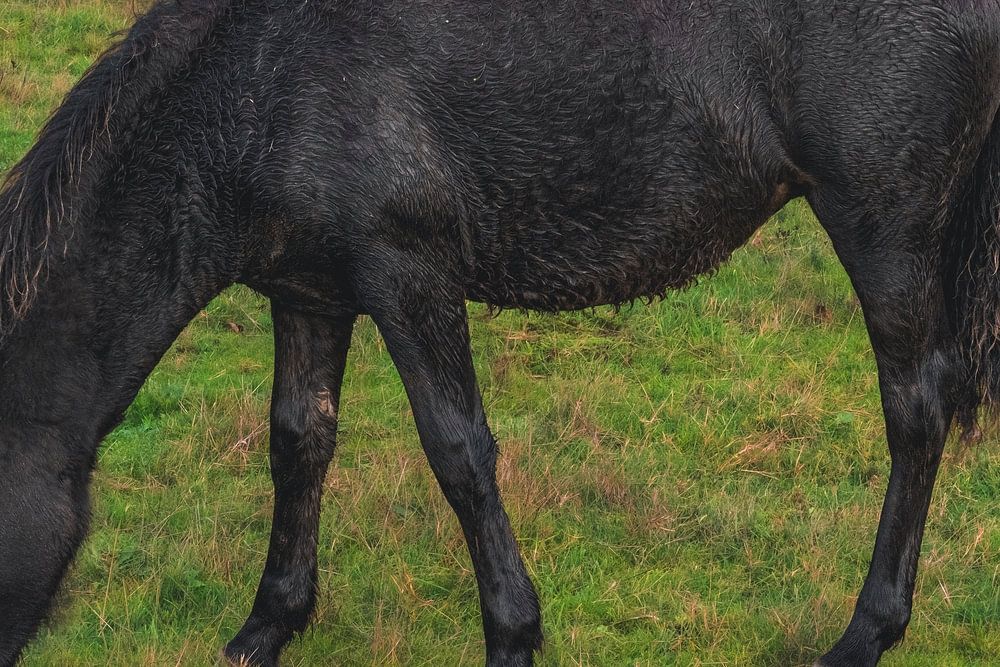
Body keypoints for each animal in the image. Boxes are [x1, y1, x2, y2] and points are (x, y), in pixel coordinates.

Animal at [1, 0, 998, 665]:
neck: (259, 82)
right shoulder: (311, 292)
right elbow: (299, 440)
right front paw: (267, 625)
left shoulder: (409, 275)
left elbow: (459, 453)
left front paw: (515, 633)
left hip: (882, 227)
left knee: (916, 410)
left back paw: (865, 633)